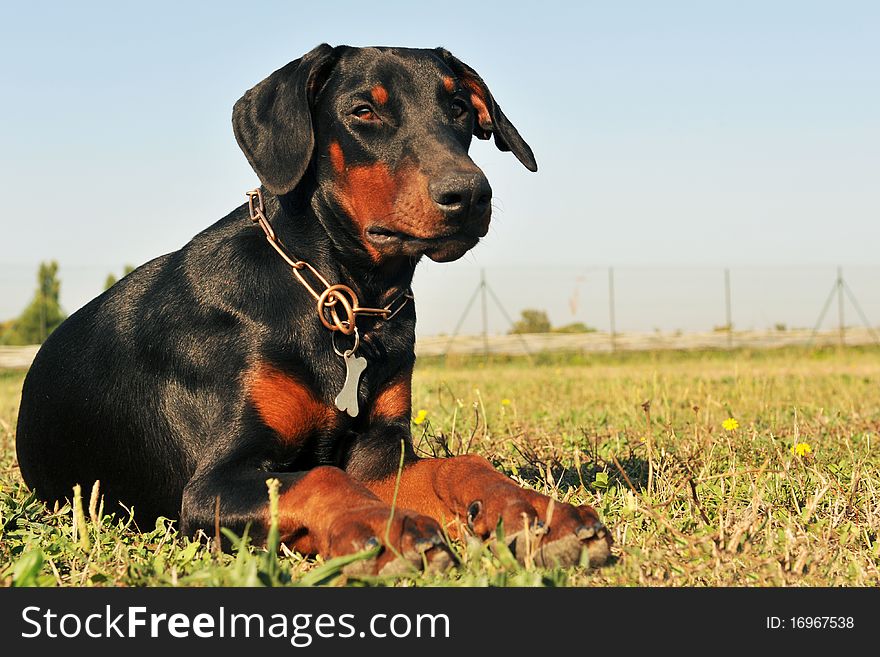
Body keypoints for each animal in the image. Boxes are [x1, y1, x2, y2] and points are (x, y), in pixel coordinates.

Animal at [18, 43, 612, 572]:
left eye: (460, 108)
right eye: (363, 111)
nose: (470, 195)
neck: (346, 302)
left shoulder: (381, 455)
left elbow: (461, 465)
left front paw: (535, 514)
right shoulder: (211, 484)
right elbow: (324, 477)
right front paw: (383, 528)